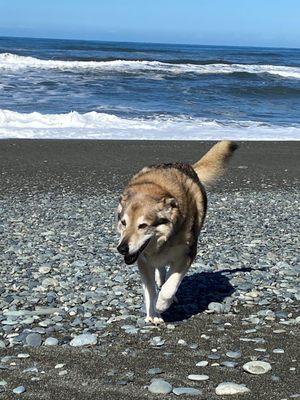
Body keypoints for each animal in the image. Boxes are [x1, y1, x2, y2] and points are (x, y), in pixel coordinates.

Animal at [116, 142, 237, 324]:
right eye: (123, 223)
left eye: (143, 225)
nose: (122, 249)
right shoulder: (143, 261)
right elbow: (150, 290)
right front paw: (153, 314)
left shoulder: (186, 255)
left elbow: (170, 285)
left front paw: (161, 304)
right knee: (160, 271)